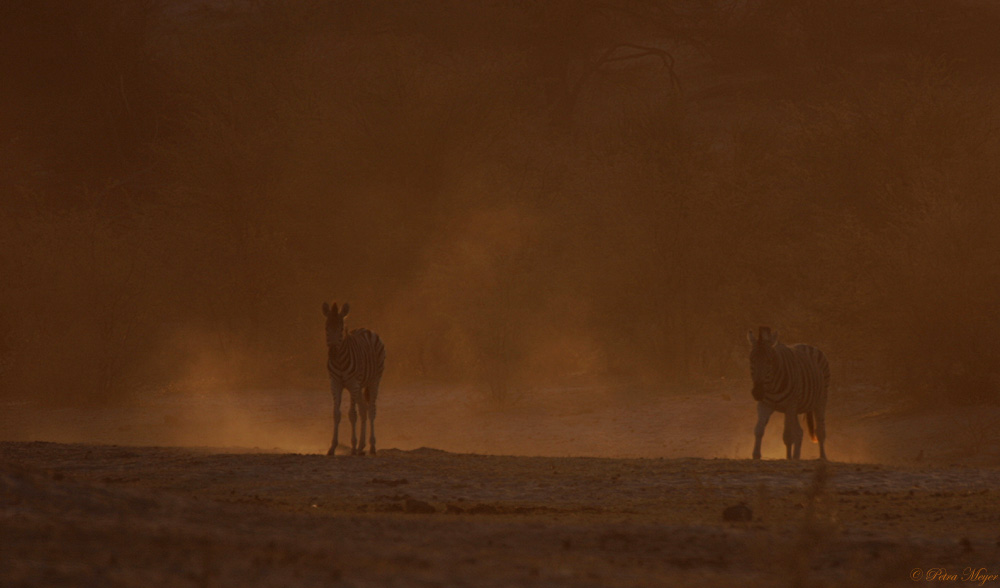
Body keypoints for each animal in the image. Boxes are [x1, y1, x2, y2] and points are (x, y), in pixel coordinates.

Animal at [322, 300, 384, 458]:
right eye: (326, 328)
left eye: (341, 329)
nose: (332, 353)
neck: (339, 361)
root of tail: (366, 329)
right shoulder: (335, 383)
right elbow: (336, 413)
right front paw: (332, 447)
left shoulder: (353, 384)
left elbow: (352, 414)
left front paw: (353, 447)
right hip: (360, 386)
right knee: (363, 409)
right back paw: (362, 446)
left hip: (374, 380)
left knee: (371, 410)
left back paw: (372, 446)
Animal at [748, 326, 832, 460]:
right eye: (751, 360)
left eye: (770, 361)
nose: (757, 393)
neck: (771, 386)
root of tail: (805, 345)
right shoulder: (765, 405)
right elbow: (759, 430)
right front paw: (756, 455)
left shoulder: (789, 406)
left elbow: (788, 436)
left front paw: (789, 458)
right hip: (796, 409)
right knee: (799, 432)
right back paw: (796, 455)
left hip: (820, 400)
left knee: (820, 431)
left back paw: (822, 457)